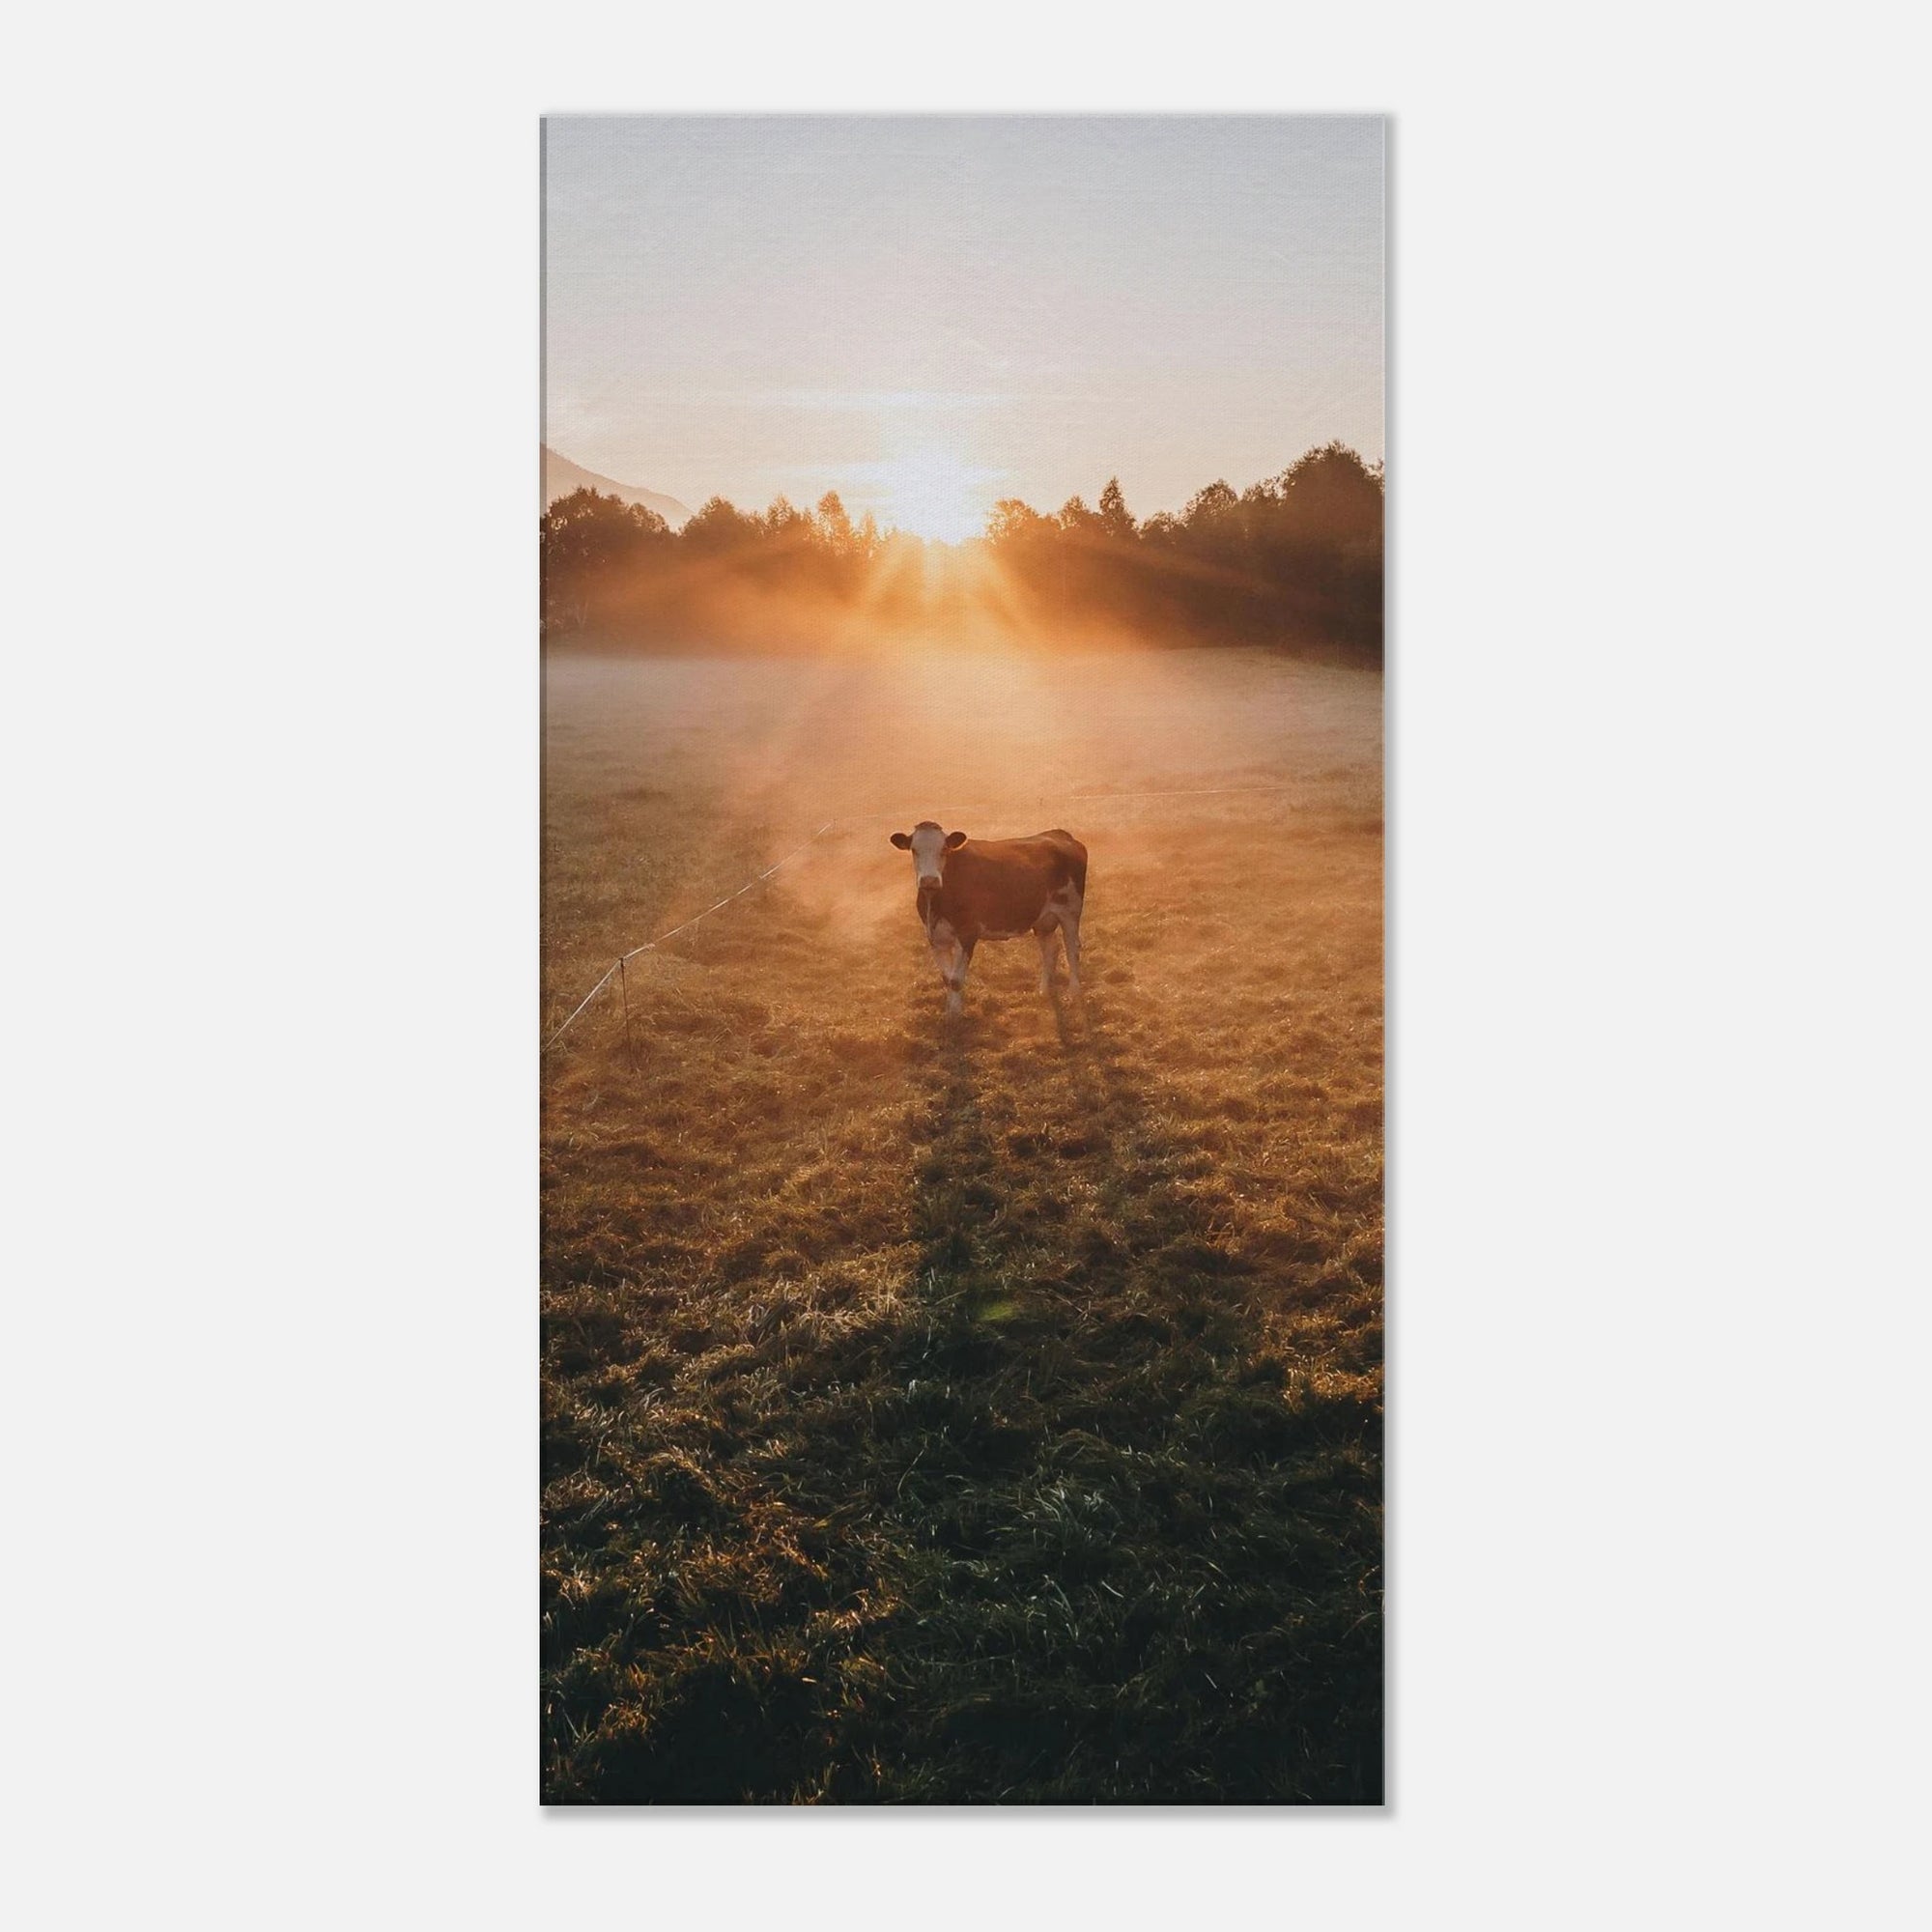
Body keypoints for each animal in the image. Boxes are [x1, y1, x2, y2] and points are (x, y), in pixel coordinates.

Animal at [889, 821, 1088, 1015]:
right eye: (914, 850)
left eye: (944, 849)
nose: (929, 880)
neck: (936, 903)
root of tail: (1059, 834)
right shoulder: (935, 938)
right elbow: (947, 978)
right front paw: (950, 1011)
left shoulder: (967, 933)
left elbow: (956, 979)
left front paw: (955, 1015)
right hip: (1043, 920)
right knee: (1050, 950)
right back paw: (1044, 991)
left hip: (1070, 912)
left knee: (1072, 951)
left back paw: (1074, 993)